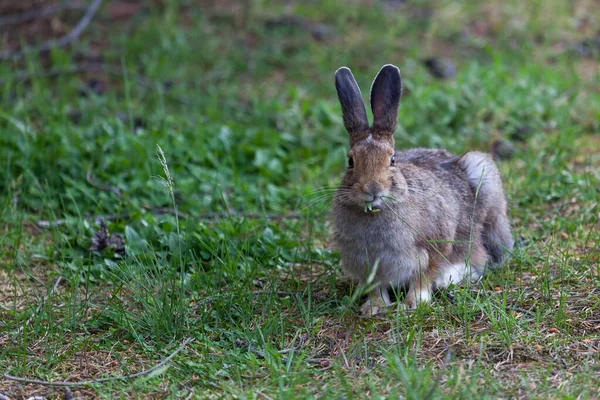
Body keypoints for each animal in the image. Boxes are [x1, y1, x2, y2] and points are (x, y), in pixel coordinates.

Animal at [330, 65, 512, 316]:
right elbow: (376, 288)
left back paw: (448, 278)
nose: (373, 188)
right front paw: (374, 308)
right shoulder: (366, 265)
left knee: (482, 258)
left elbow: (423, 277)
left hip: (485, 186)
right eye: (350, 161)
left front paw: (414, 303)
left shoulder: (433, 246)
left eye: (392, 160)